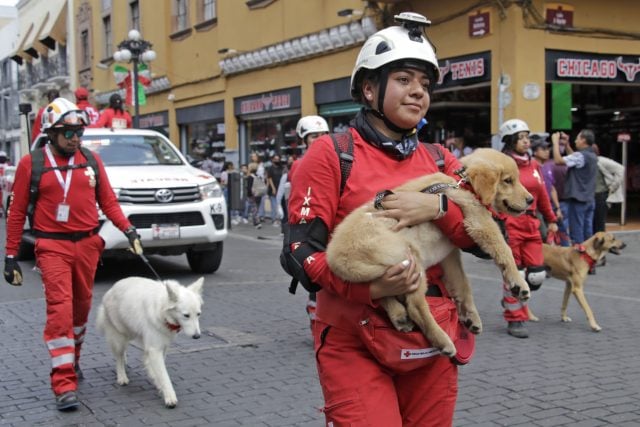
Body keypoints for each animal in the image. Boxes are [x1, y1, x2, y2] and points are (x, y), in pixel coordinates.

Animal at [97, 276, 205, 410]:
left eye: (198, 314)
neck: (162, 310)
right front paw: (169, 396)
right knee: (119, 357)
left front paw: (157, 380)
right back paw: (122, 376)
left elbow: (159, 371)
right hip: (119, 338)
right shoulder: (154, 350)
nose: (197, 336)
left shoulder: (163, 346)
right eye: (186, 315)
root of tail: (112, 288)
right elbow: (164, 376)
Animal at [328, 149, 532, 356]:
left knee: (379, 293)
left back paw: (399, 317)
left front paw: (471, 317)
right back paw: (443, 341)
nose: (531, 200)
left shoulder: (450, 255)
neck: (463, 183)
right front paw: (519, 284)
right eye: (508, 180)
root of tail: (337, 258)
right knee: (415, 305)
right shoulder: (479, 221)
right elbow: (505, 250)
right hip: (411, 261)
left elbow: (462, 283)